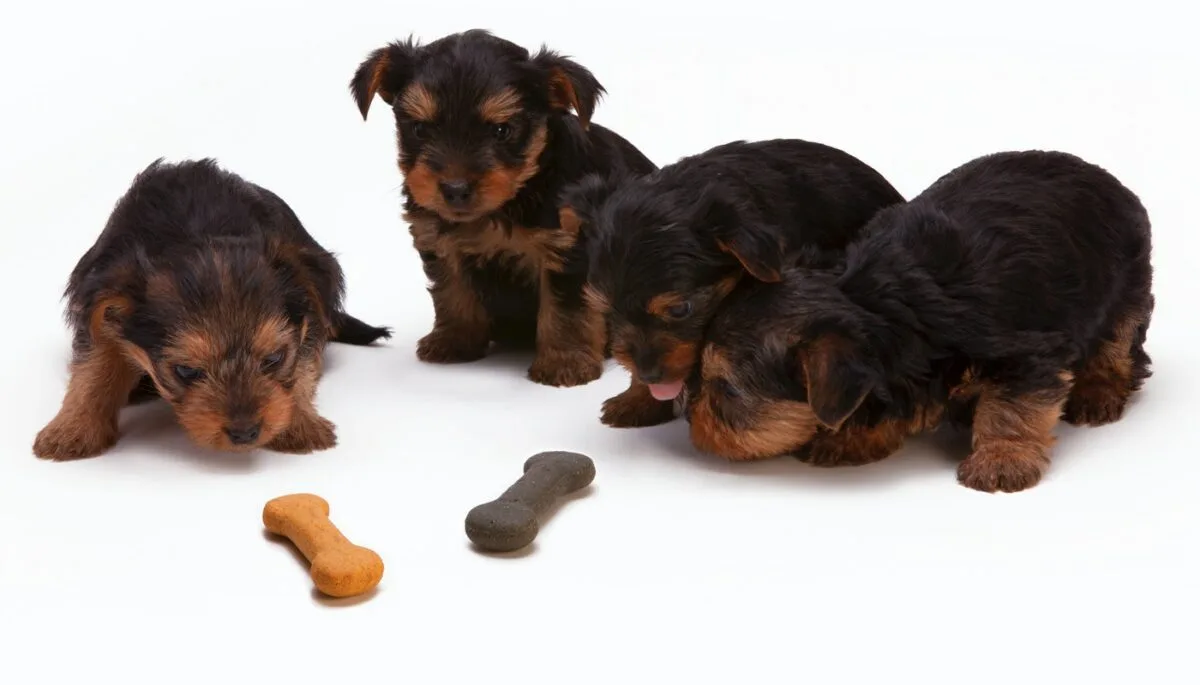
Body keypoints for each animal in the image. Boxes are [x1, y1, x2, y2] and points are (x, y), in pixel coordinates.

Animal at [32, 158, 388, 463]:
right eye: (186, 371)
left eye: (274, 358)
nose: (245, 433)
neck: (197, 230)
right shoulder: (101, 303)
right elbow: (93, 366)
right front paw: (72, 430)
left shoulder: (308, 313)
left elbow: (302, 366)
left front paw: (300, 423)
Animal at [350, 28, 657, 386]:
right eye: (420, 129)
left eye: (501, 131)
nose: (455, 189)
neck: (508, 202)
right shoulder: (439, 241)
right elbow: (451, 291)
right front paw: (454, 340)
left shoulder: (567, 246)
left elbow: (567, 308)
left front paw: (564, 362)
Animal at [691, 149, 1156, 494]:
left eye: (726, 391)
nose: (691, 417)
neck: (877, 300)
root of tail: (1100, 174)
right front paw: (850, 437)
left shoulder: (1027, 354)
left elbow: (1012, 407)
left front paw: (1001, 460)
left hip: (1128, 281)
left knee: (1118, 342)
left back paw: (1098, 393)